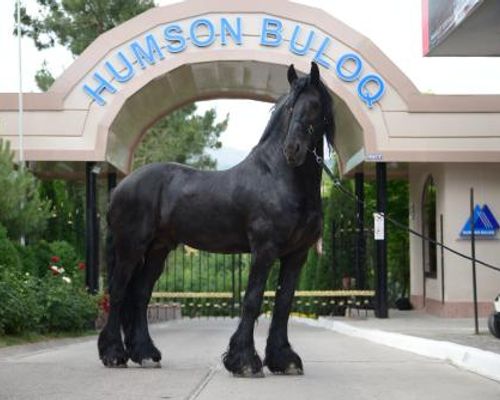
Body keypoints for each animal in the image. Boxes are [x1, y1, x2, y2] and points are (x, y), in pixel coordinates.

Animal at [98, 61, 334, 376]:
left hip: (158, 250)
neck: (279, 177)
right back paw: (113, 354)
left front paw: (284, 359)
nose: (292, 150)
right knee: (119, 292)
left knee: (139, 295)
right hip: (131, 248)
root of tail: (120, 188)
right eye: (289, 108)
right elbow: (252, 300)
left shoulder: (297, 254)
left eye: (314, 106)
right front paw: (244, 361)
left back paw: (146, 354)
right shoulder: (264, 249)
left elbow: (283, 303)